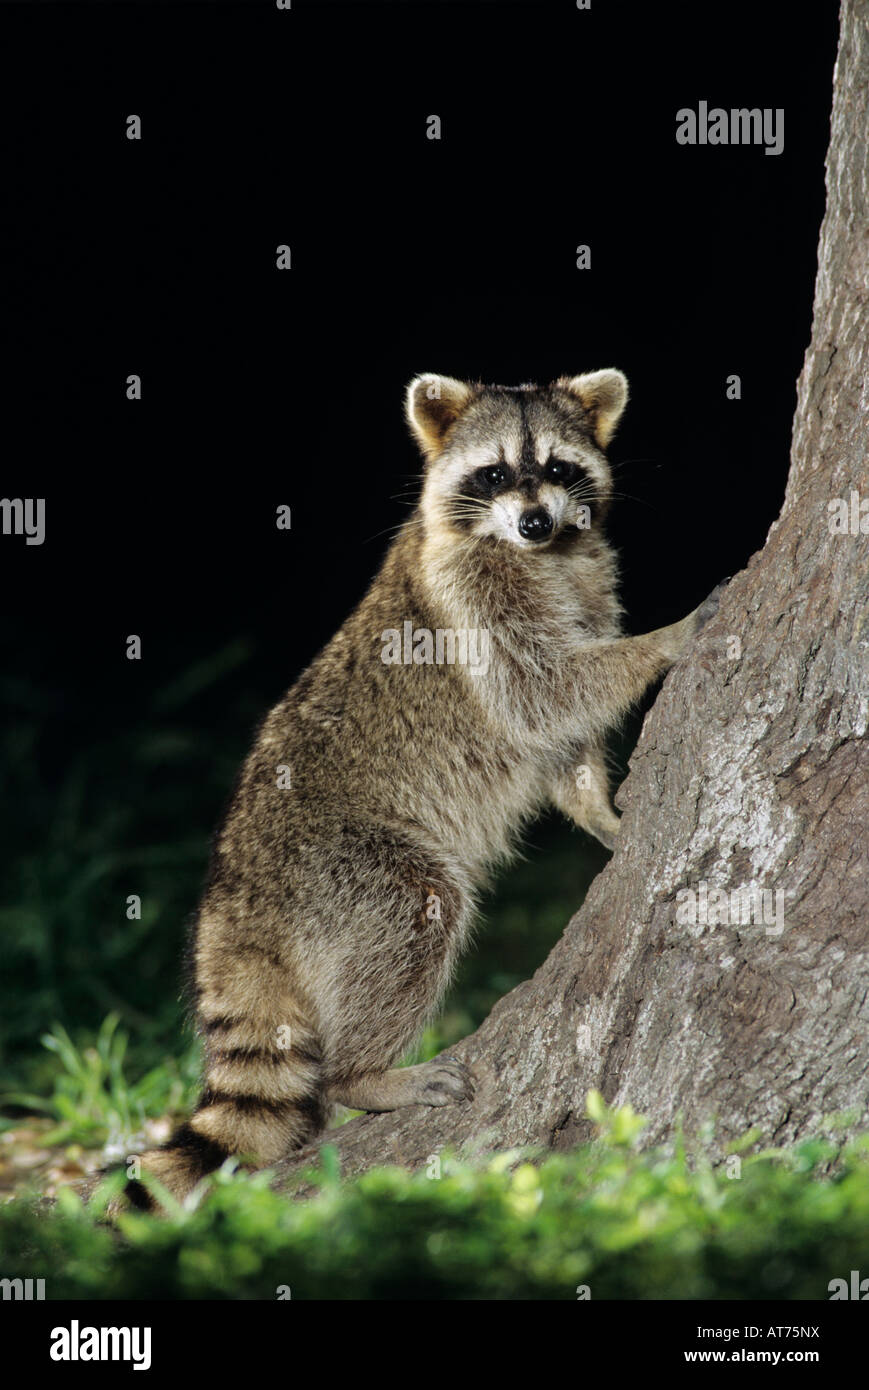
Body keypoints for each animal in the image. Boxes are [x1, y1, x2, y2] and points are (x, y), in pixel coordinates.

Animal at [109, 369, 722, 1211]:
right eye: (493, 475)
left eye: (557, 468)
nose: (534, 522)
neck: (542, 554)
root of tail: (232, 900)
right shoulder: (474, 602)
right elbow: (542, 694)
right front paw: (667, 637)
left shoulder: (589, 581)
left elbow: (559, 732)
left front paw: (595, 807)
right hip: (340, 864)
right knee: (417, 905)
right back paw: (363, 1074)